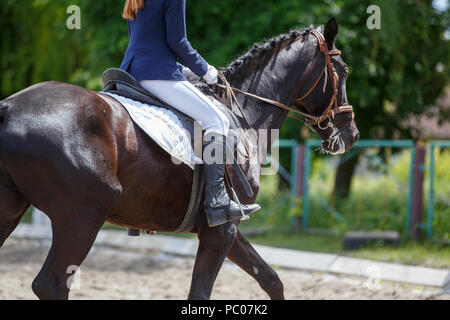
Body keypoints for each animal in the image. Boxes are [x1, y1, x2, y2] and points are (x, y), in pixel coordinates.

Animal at [0, 19, 358, 300]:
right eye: (342, 71)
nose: (351, 134)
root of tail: (9, 107)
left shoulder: (225, 227)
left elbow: (271, 280)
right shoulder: (221, 230)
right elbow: (200, 293)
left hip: (13, 212)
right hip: (83, 216)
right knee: (52, 284)